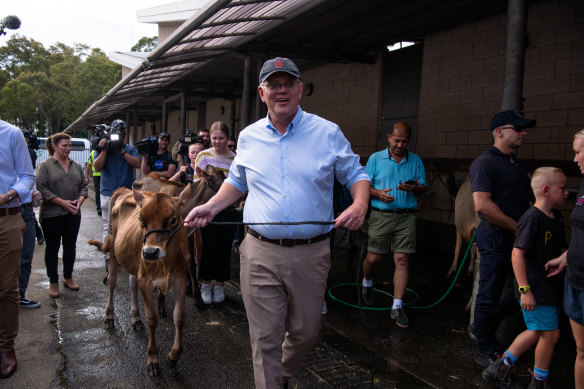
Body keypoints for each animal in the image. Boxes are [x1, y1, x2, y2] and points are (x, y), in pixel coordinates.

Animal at [89, 189, 189, 376]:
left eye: (173, 220)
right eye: (141, 220)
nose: (150, 252)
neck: (167, 263)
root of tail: (126, 190)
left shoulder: (181, 279)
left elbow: (179, 317)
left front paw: (173, 355)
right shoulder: (146, 281)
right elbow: (152, 319)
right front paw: (152, 359)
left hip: (134, 261)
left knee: (132, 284)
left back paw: (135, 318)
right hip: (114, 248)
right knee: (112, 282)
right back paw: (109, 316)